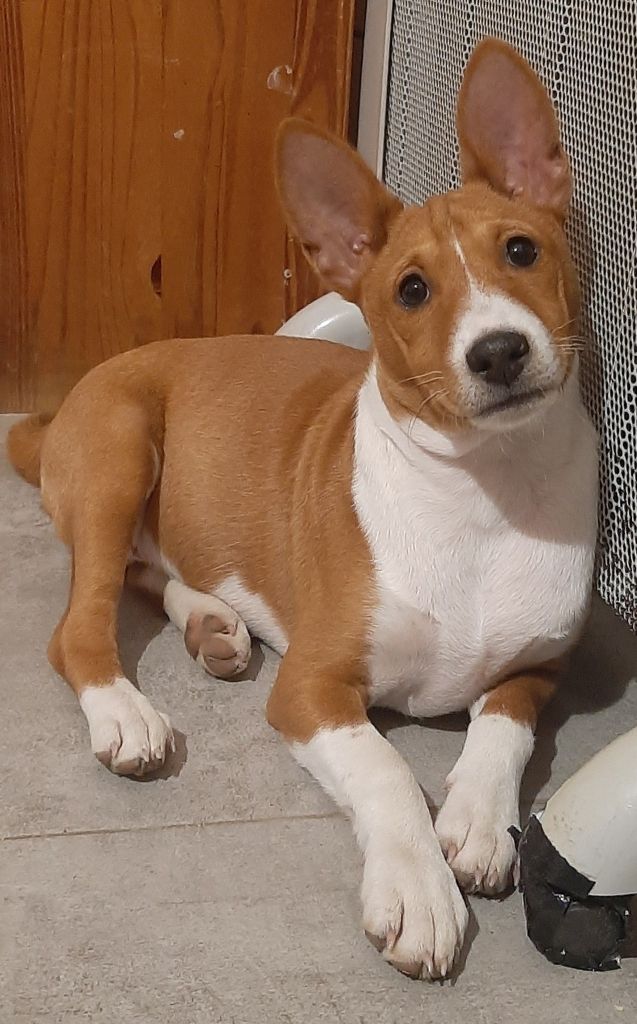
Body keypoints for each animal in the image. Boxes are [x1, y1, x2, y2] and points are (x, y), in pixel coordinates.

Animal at [8, 39, 597, 980]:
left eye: (520, 249)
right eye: (410, 291)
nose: (499, 350)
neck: (484, 494)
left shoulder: (540, 664)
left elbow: (503, 727)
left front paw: (476, 819)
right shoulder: (312, 688)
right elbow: (387, 771)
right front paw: (418, 889)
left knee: (147, 570)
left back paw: (212, 622)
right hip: (119, 448)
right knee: (82, 620)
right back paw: (127, 709)